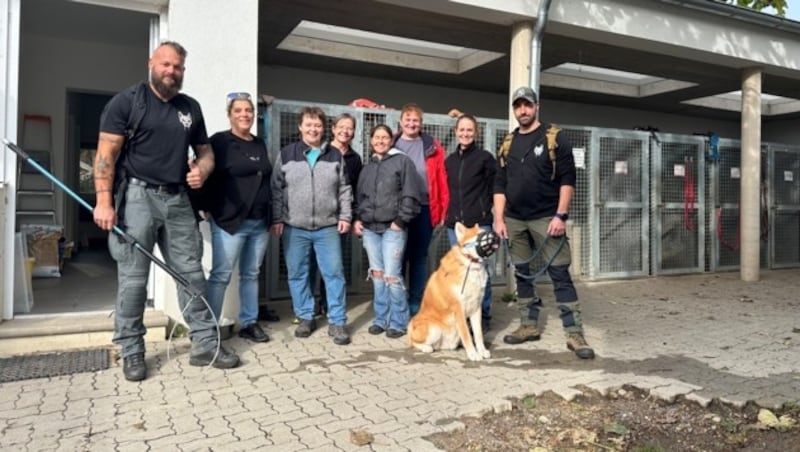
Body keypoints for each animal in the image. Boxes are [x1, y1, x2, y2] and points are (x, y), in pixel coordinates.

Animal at [410, 222, 490, 360]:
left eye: (485, 232)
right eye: (478, 235)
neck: (471, 266)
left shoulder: (476, 307)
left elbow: (478, 334)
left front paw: (482, 351)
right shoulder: (459, 309)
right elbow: (467, 335)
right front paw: (473, 354)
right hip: (434, 329)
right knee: (413, 342)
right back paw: (426, 348)